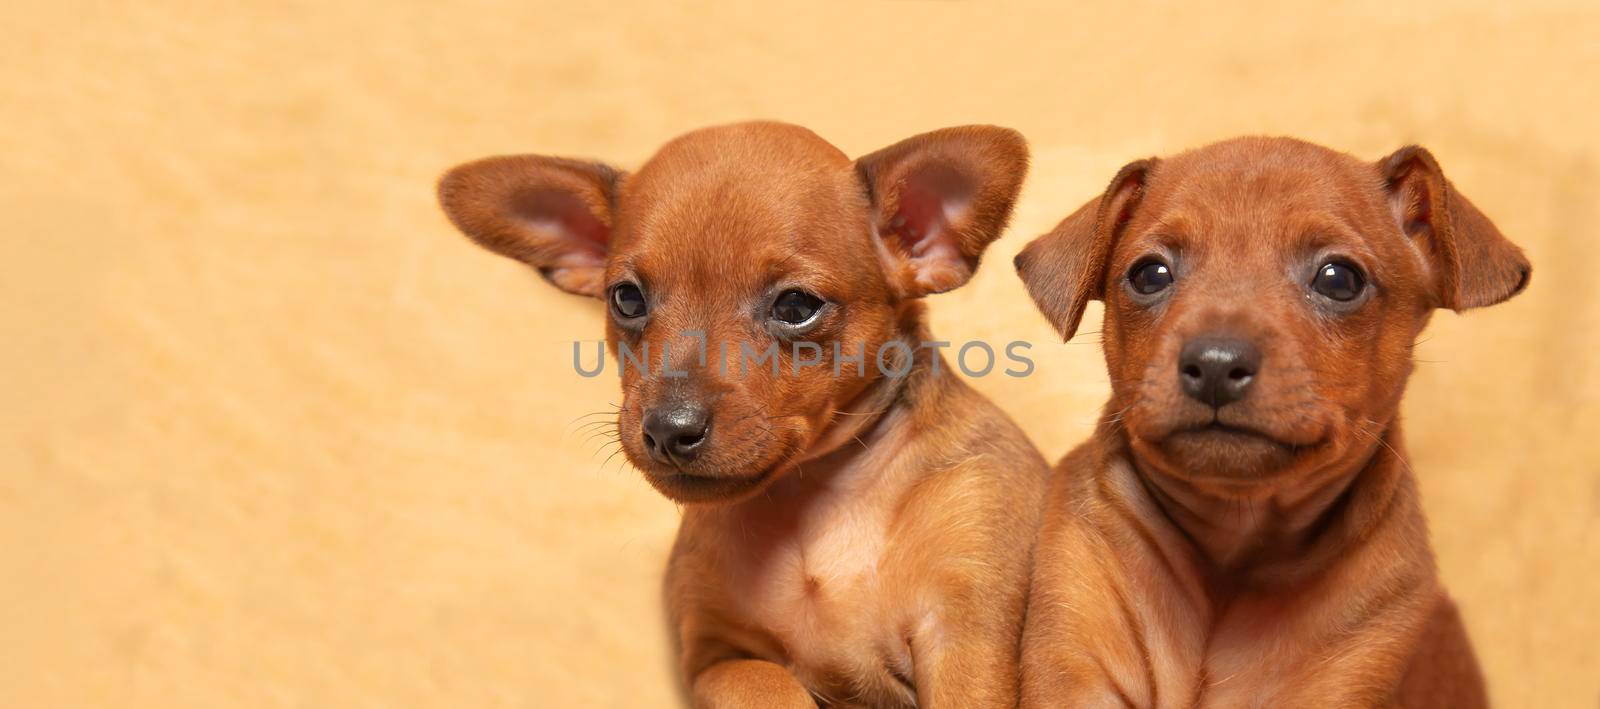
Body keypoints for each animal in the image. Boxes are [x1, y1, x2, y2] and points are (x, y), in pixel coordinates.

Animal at [438, 123, 1056, 709]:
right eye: (626, 300)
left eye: (796, 306)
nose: (668, 429)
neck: (815, 508)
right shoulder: (716, 659)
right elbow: (764, 684)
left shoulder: (964, 645)